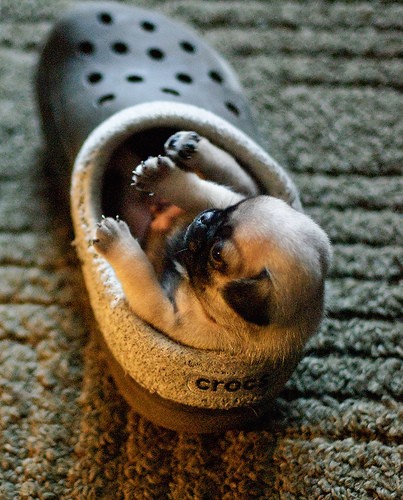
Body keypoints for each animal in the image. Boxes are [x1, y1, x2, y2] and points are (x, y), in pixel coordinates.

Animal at [94, 131, 332, 362]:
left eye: (216, 253)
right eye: (229, 210)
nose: (204, 219)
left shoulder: (167, 314)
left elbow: (138, 272)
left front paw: (115, 240)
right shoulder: (224, 197)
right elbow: (196, 190)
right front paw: (163, 177)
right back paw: (187, 147)